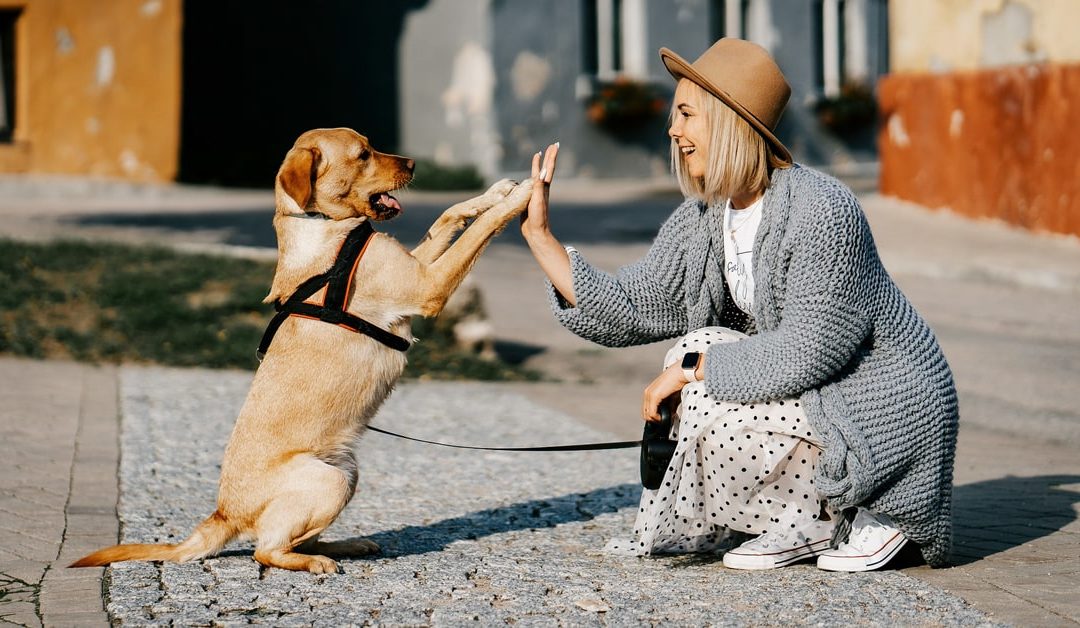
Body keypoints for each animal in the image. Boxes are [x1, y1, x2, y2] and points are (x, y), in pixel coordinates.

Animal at [69, 127, 533, 575]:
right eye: (363, 154)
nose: (414, 163)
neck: (324, 227)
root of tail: (223, 514)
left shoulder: (417, 266)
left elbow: (449, 215)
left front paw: (496, 191)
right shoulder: (427, 285)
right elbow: (478, 231)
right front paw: (524, 195)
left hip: (347, 472)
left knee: (295, 539)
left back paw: (346, 545)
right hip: (329, 481)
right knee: (266, 550)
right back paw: (315, 562)